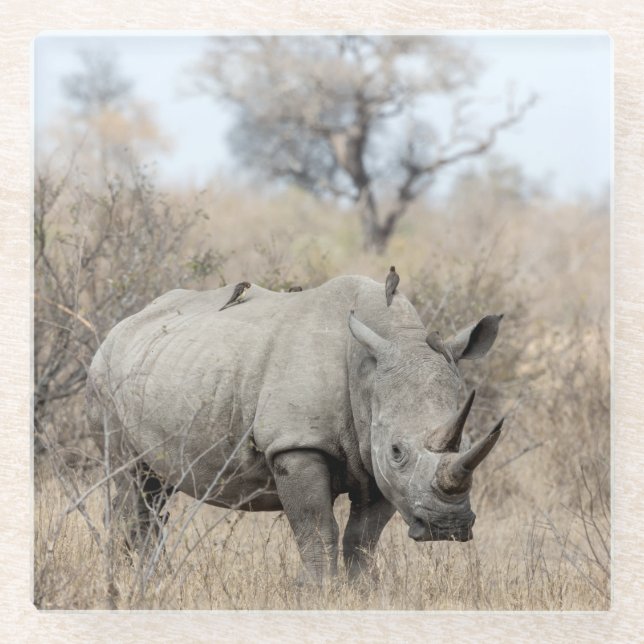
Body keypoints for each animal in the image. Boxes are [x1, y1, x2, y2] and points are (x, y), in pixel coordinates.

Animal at [86, 275, 504, 582]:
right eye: (397, 451)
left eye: (468, 441)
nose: (446, 527)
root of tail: (123, 324)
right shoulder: (296, 444)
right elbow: (317, 530)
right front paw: (322, 592)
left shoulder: (375, 461)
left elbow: (363, 539)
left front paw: (363, 593)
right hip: (105, 377)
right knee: (130, 480)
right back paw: (127, 582)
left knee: (155, 491)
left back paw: (147, 581)